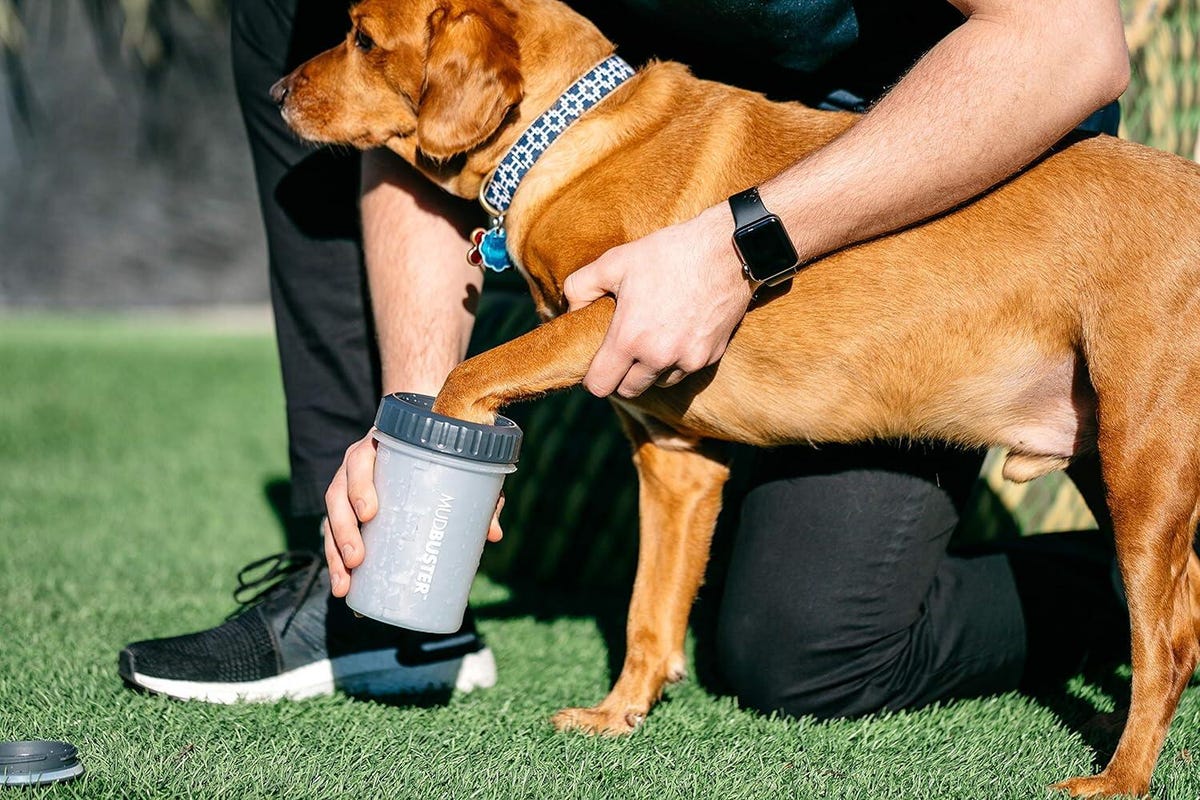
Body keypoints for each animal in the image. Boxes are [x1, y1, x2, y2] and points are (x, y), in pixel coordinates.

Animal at [276, 0, 1200, 796]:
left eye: (360, 36)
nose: (280, 91)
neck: (568, 139)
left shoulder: (611, 312)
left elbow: (469, 375)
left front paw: (443, 465)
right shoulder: (676, 464)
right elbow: (650, 612)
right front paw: (620, 714)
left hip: (1144, 458)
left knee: (1164, 641)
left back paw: (1120, 778)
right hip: (1100, 456)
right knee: (1176, 614)